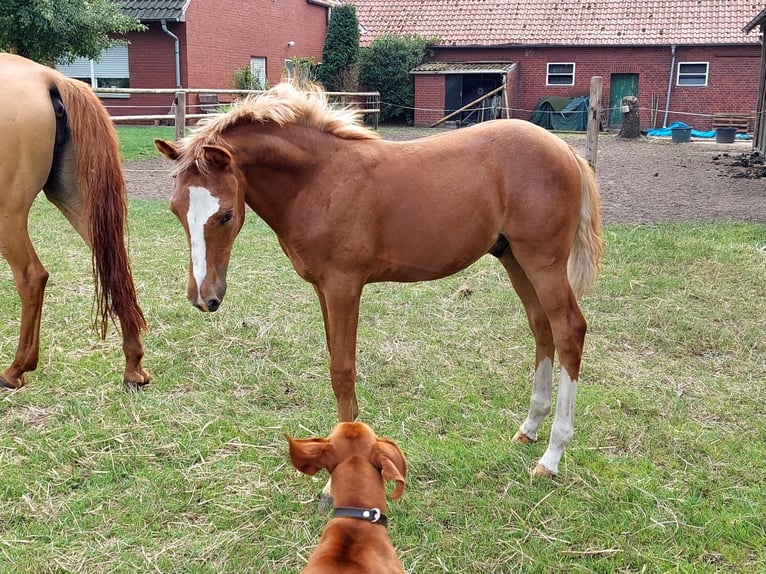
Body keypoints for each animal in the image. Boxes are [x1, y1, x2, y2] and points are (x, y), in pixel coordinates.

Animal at [0, 53, 150, 392]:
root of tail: (47, 77)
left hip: (7, 212)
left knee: (31, 276)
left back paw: (15, 370)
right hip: (77, 200)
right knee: (115, 270)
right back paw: (133, 368)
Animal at [156, 82, 604, 476]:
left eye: (226, 214)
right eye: (175, 210)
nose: (204, 297)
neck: (319, 180)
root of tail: (565, 149)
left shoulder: (343, 286)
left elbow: (342, 370)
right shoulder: (323, 289)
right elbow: (334, 361)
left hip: (543, 261)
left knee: (569, 331)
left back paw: (552, 455)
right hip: (514, 258)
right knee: (541, 328)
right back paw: (529, 429)